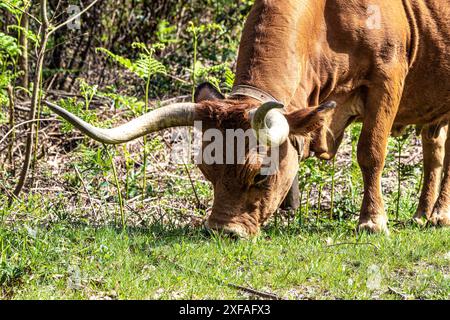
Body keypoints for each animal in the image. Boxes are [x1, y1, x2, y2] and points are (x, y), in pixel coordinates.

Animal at [46, 0, 450, 235]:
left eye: (260, 175)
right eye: (206, 170)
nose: (223, 231)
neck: (327, 20)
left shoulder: (387, 77)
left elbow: (370, 152)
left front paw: (372, 221)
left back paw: (439, 216)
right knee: (435, 151)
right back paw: (421, 214)